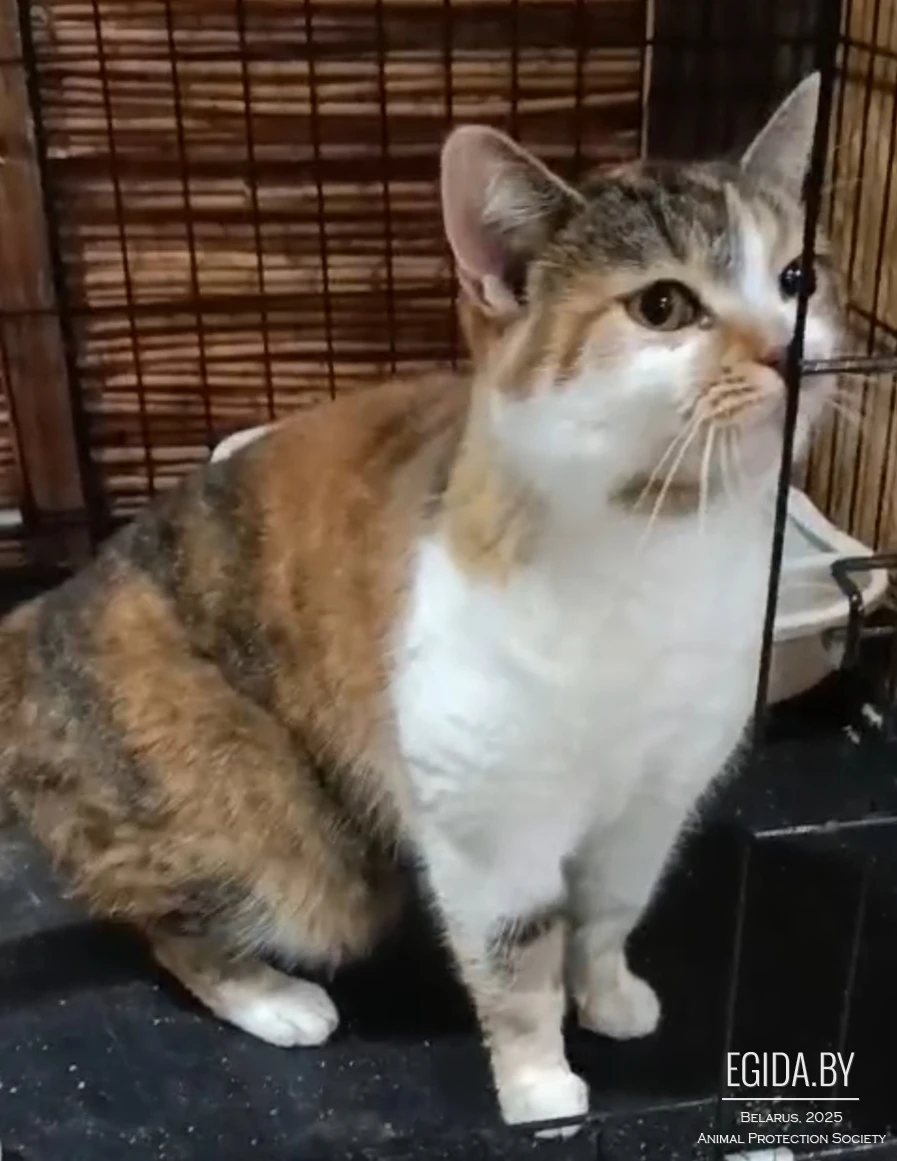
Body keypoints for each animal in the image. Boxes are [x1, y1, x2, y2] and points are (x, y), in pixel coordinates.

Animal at [0, 72, 841, 1130]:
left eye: (796, 279)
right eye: (662, 305)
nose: (787, 350)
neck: (659, 546)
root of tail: (35, 620)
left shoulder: (655, 798)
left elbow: (607, 914)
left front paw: (608, 994)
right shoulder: (490, 821)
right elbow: (515, 959)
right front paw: (538, 1084)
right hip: (277, 844)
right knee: (171, 918)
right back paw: (274, 997)